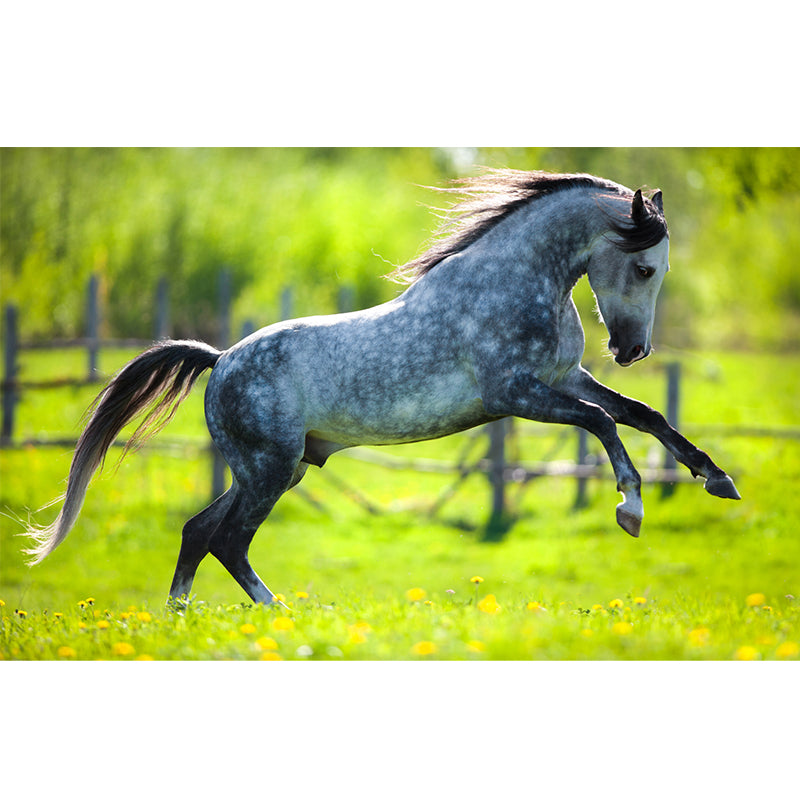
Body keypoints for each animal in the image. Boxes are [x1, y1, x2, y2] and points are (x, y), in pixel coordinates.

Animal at [23, 168, 741, 604]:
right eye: (645, 267)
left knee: (199, 532)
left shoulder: (566, 379)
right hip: (268, 470)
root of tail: (221, 359)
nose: (631, 350)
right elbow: (604, 423)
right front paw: (630, 509)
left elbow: (644, 415)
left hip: (276, 469)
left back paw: (186, 616)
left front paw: (717, 479)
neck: (518, 282)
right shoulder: (516, 395)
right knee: (227, 539)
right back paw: (276, 613)